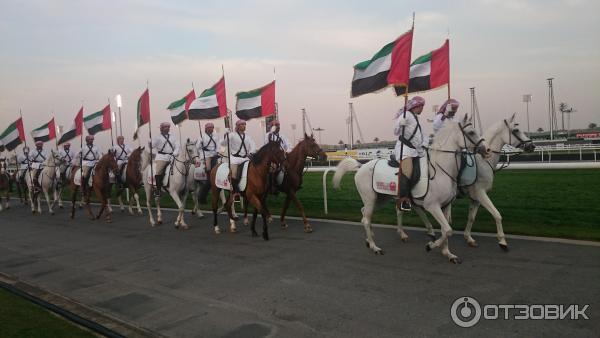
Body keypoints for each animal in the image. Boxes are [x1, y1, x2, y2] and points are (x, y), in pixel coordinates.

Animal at [332, 114, 488, 264]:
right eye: (471, 132)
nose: (486, 149)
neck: (440, 170)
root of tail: (361, 166)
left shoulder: (445, 206)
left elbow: (446, 230)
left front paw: (448, 253)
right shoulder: (432, 206)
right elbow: (448, 230)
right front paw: (430, 246)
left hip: (380, 199)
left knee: (364, 213)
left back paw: (369, 240)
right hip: (371, 199)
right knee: (366, 219)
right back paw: (375, 247)